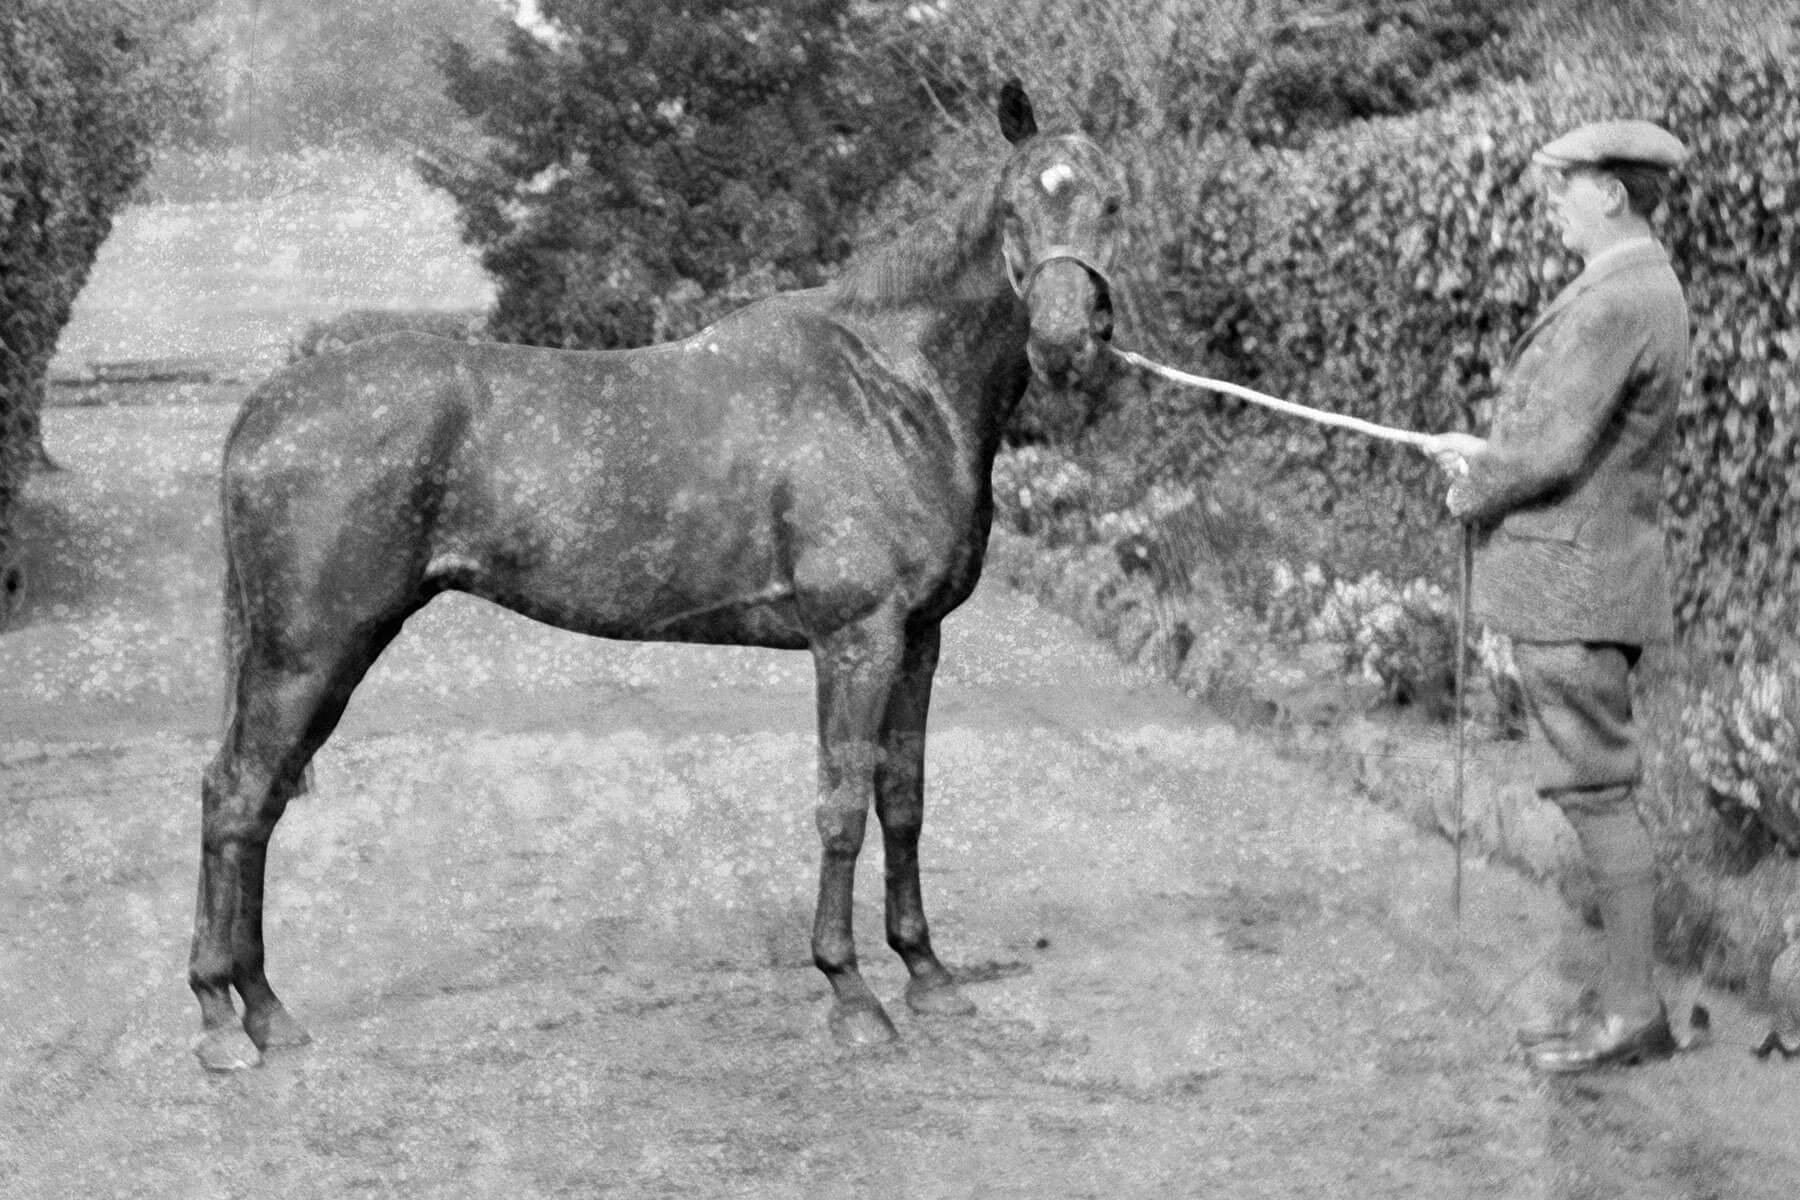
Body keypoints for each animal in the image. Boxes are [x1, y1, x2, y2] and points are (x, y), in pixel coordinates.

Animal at [188, 79, 1127, 1070]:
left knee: (257, 800)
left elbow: (901, 802)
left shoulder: (918, 642)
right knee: (237, 796)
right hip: (311, 649)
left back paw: (263, 1012)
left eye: (1113, 203)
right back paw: (222, 1021)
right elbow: (841, 807)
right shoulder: (856, 640)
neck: (891, 383)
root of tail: (267, 405)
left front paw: (929, 974)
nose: (1065, 340)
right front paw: (851, 992)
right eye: (1017, 206)